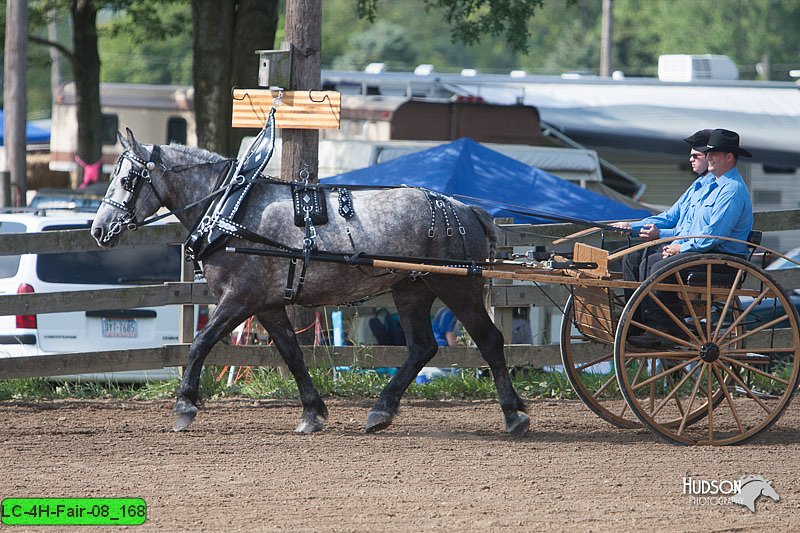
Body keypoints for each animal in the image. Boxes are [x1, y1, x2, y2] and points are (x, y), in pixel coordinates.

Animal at [90, 131, 528, 434]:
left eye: (128, 180)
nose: (98, 230)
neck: (232, 208)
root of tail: (465, 210)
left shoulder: (239, 299)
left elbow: (199, 344)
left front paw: (184, 407)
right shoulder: (268, 305)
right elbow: (292, 354)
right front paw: (312, 413)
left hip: (457, 287)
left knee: (489, 341)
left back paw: (514, 415)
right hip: (412, 289)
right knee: (422, 348)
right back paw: (380, 411)